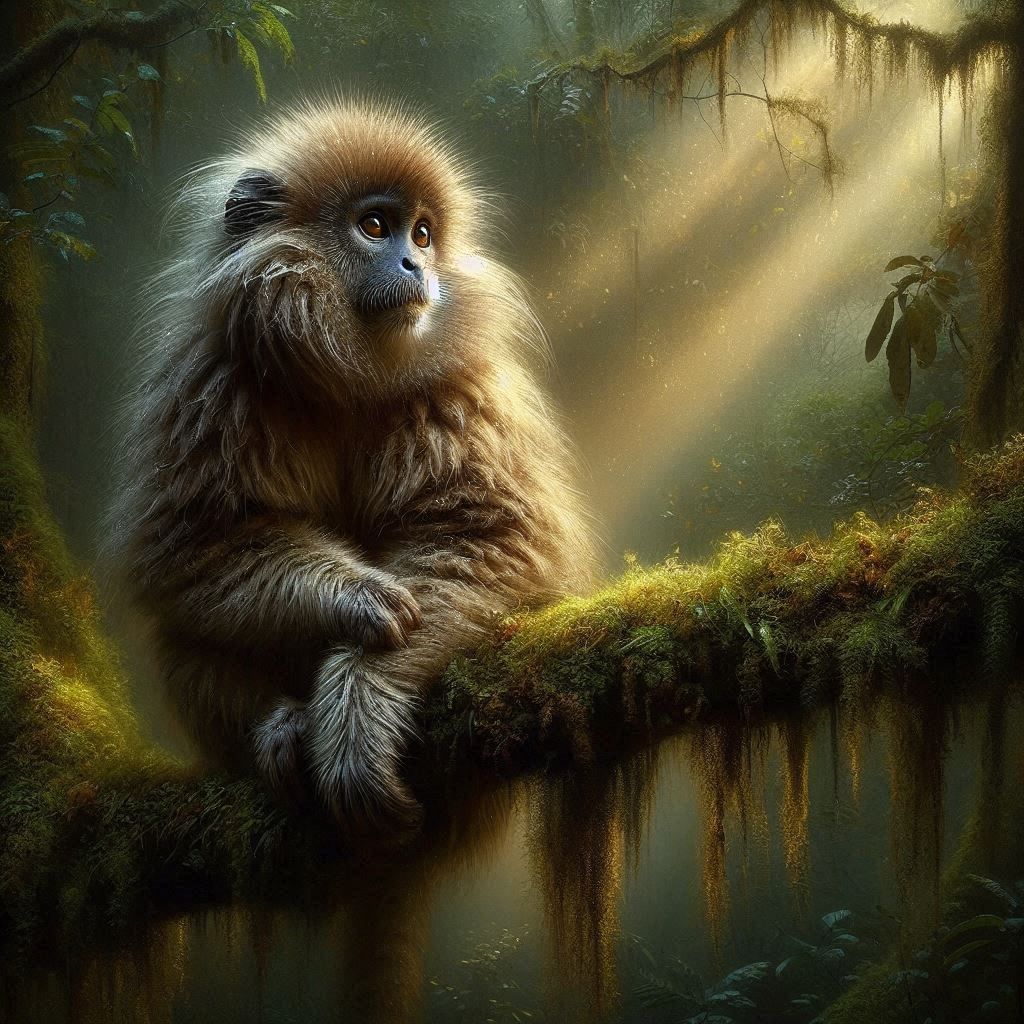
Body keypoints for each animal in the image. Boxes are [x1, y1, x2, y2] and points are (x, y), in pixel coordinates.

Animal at [106, 98, 595, 828]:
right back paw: (274, 726)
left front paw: (359, 704)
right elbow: (190, 546)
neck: (348, 377)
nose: (416, 266)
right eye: (374, 226)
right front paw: (351, 596)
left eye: (422, 234)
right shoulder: (215, 379)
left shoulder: (452, 390)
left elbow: (490, 533)